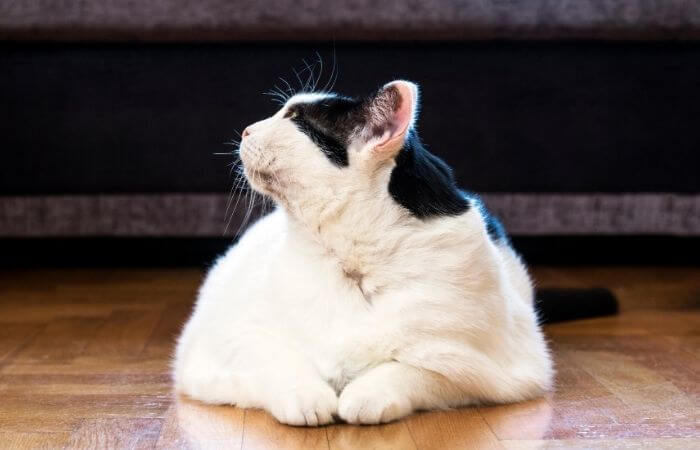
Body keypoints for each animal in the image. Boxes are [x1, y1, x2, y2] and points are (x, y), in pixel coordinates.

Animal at [174, 80, 552, 426]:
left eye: (297, 119)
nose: (245, 130)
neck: (350, 263)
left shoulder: (491, 362)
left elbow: (412, 369)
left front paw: (366, 395)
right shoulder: (233, 336)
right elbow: (277, 359)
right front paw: (307, 397)